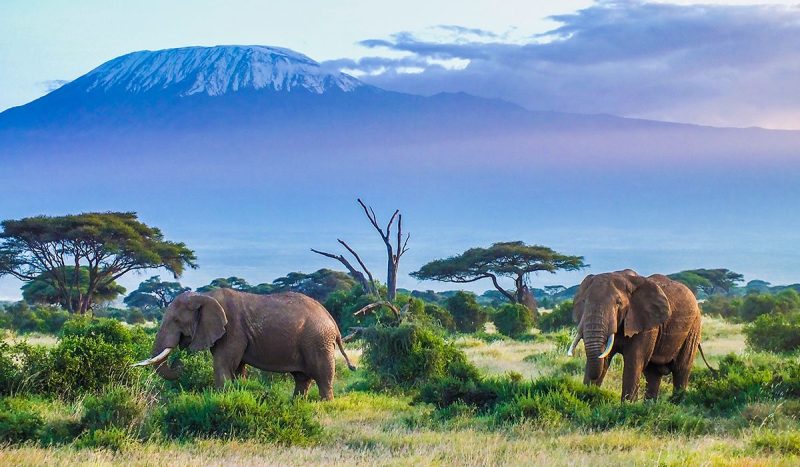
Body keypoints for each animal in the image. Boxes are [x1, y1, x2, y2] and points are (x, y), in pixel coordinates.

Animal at [132, 289, 356, 400]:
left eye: (176, 321)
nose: (179, 363)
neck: (204, 296)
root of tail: (333, 321)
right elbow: (237, 368)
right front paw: (237, 392)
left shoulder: (232, 330)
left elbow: (223, 365)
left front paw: (220, 400)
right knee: (302, 378)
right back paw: (296, 404)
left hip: (318, 341)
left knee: (323, 376)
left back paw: (325, 404)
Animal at [567, 269, 704, 401]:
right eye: (584, 301)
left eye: (618, 302)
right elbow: (604, 358)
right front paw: (587, 399)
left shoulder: (645, 323)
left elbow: (634, 360)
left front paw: (627, 406)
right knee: (653, 373)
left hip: (694, 328)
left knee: (681, 369)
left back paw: (676, 403)